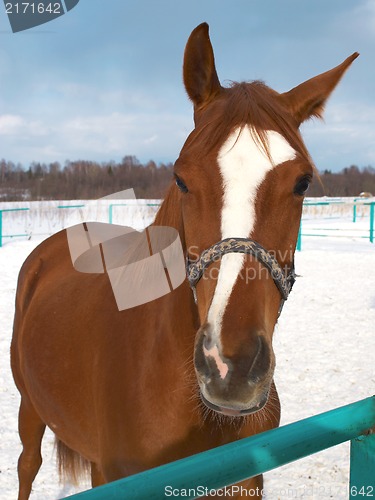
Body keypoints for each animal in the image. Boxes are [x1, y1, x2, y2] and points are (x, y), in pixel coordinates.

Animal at [11, 22, 358, 500]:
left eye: (303, 182)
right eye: (181, 178)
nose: (231, 368)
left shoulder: (245, 482)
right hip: (30, 407)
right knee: (28, 465)